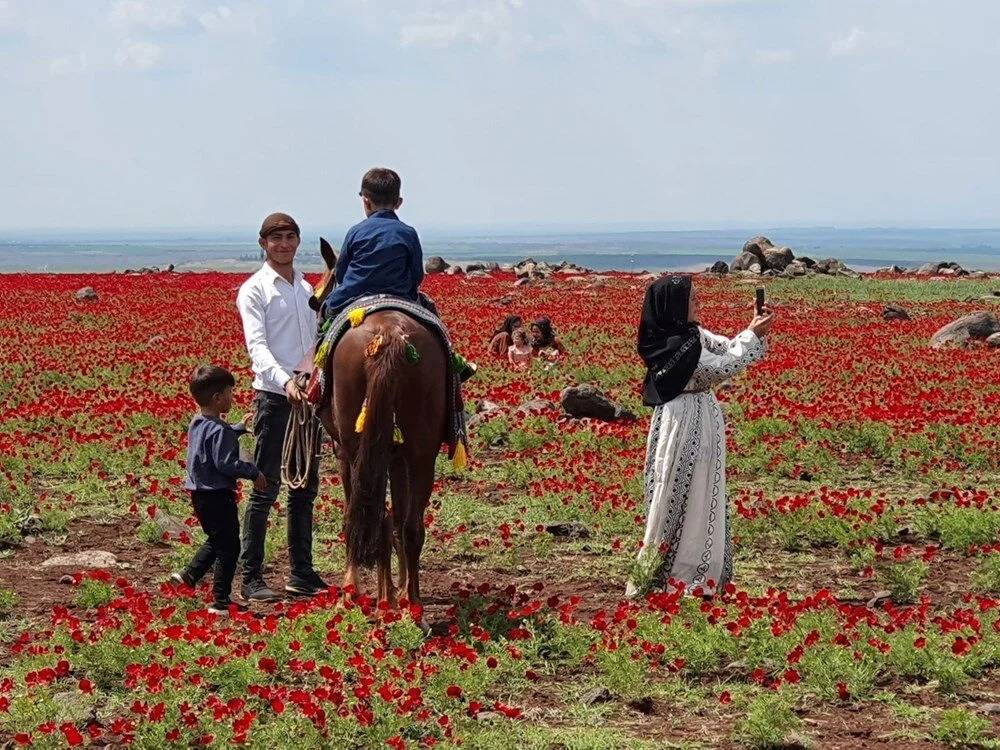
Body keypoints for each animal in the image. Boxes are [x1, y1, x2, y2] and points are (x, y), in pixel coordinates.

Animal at [310, 241, 448, 612]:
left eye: (318, 299)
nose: (316, 304)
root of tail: (390, 335)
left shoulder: (346, 453)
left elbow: (366, 515)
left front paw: (376, 592)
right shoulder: (398, 456)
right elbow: (396, 520)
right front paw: (396, 591)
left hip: (356, 447)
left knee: (363, 514)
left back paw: (361, 594)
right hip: (420, 451)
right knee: (412, 525)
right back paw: (413, 607)